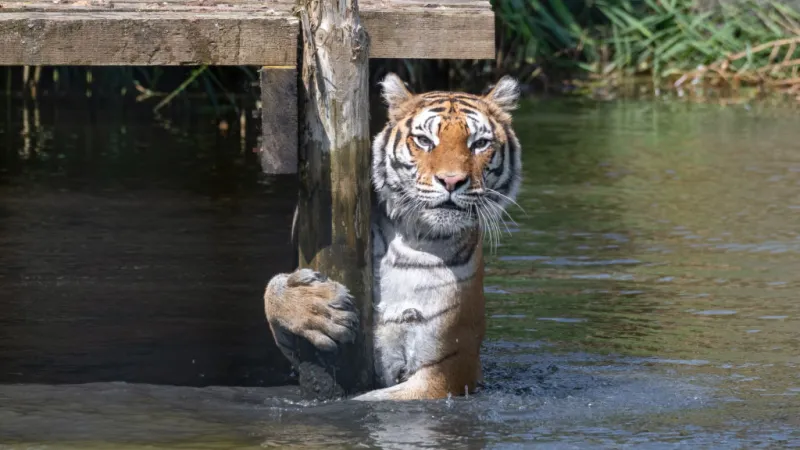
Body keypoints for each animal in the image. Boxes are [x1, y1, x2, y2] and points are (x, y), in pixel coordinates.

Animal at [264, 73, 522, 401]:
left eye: (479, 144)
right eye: (424, 140)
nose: (452, 180)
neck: (412, 241)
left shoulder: (449, 367)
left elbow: (370, 400)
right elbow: (271, 295)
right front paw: (313, 305)